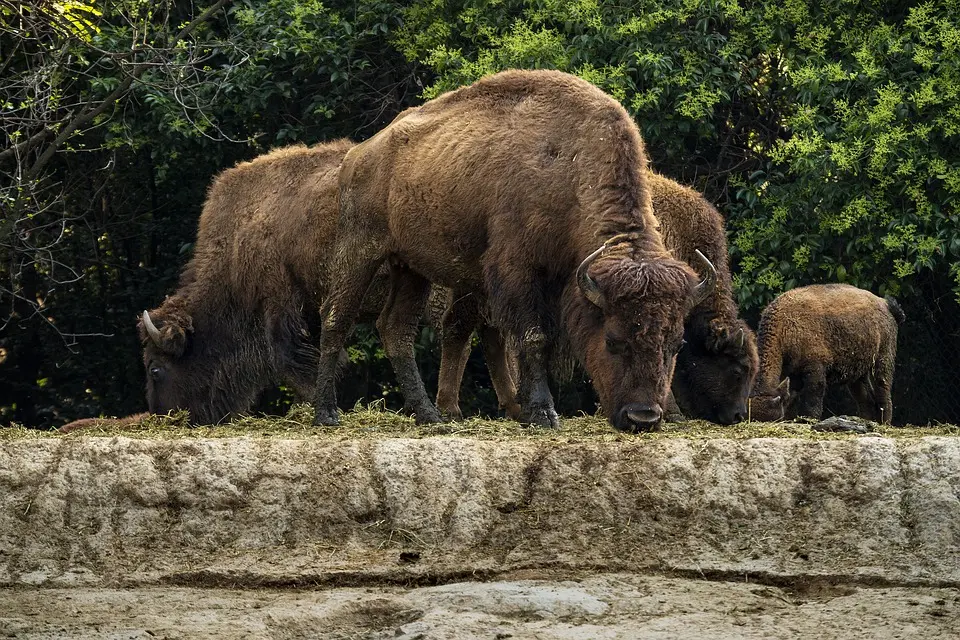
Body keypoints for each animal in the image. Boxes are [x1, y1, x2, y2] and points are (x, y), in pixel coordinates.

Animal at [137, 142, 516, 428]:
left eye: (156, 369)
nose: (164, 416)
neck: (240, 236)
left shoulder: (279, 302)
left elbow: (290, 358)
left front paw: (324, 407)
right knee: (493, 336)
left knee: (465, 337)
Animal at [314, 69, 712, 430]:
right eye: (613, 340)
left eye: (676, 344)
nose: (643, 417)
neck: (570, 170)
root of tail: (358, 153)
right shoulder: (519, 270)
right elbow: (533, 338)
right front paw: (543, 414)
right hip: (361, 250)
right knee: (336, 316)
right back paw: (327, 413)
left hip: (411, 267)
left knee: (396, 328)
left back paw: (429, 415)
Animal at [748, 284, 904, 424]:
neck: (784, 327)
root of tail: (885, 304)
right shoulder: (792, 374)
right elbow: (791, 397)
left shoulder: (815, 368)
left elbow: (813, 396)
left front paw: (810, 419)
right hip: (858, 374)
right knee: (865, 398)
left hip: (883, 359)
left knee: (883, 390)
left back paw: (885, 422)